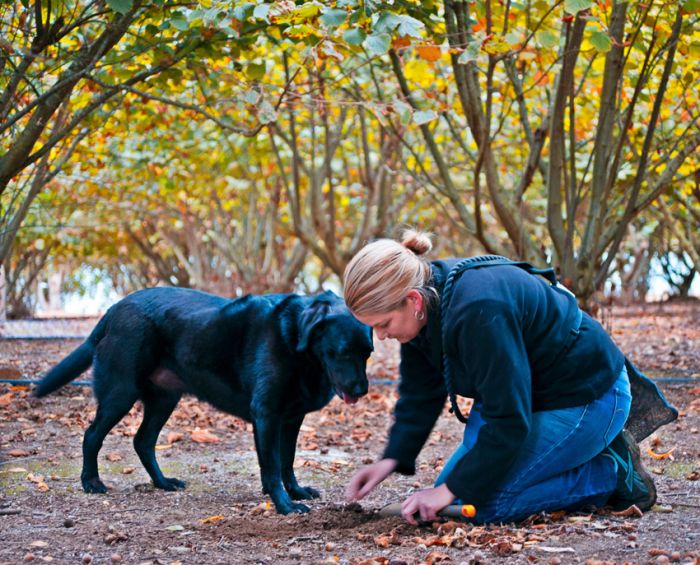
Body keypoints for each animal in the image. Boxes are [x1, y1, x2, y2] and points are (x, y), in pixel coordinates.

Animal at [34, 288, 372, 512]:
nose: (361, 390)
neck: (298, 348)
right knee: (92, 435)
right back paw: (91, 482)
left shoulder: (290, 419)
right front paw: (285, 505)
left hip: (164, 399)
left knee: (142, 441)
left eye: (368, 353)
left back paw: (163, 483)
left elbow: (286, 462)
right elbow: (273, 466)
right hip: (121, 392)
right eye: (342, 351)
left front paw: (296, 492)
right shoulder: (267, 415)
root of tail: (116, 307)